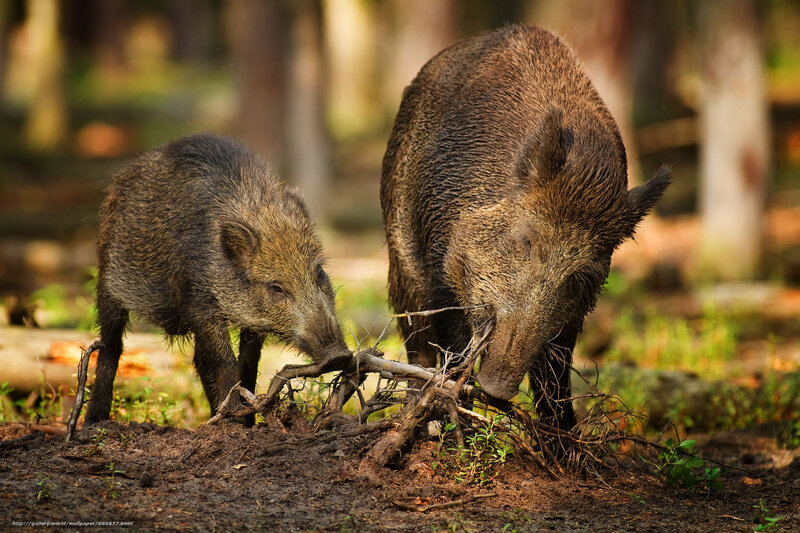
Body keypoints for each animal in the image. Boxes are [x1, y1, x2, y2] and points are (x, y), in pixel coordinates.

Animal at [85, 134, 351, 426]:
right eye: (277, 288)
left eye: (319, 273)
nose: (339, 355)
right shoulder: (200, 303)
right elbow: (225, 362)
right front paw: (235, 424)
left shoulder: (251, 320)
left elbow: (248, 363)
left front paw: (247, 422)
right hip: (107, 280)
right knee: (110, 345)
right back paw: (93, 421)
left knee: (198, 359)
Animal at [381, 25, 670, 431]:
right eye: (526, 240)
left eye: (581, 275)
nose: (497, 388)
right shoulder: (440, 262)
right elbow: (453, 347)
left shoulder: (571, 318)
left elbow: (554, 376)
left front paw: (564, 441)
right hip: (400, 262)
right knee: (416, 347)